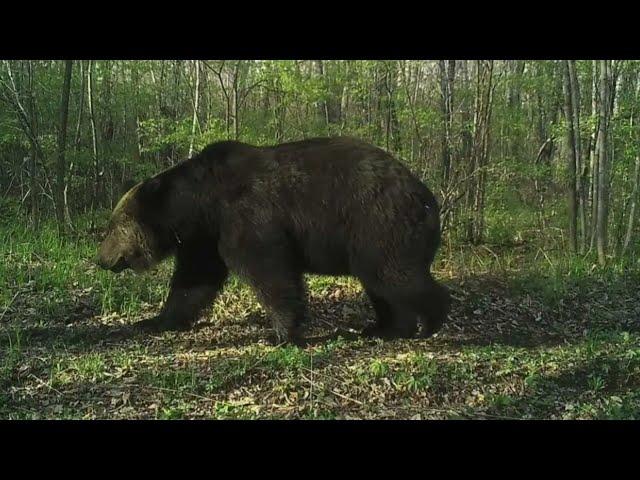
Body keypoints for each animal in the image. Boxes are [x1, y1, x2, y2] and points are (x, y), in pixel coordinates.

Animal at [99, 137, 450, 344]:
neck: (202, 205)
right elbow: (193, 282)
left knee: (394, 275)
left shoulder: (247, 217)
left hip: (378, 224)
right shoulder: (206, 238)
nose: (101, 259)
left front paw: (281, 334)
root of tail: (428, 197)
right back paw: (385, 328)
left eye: (113, 227)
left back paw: (431, 320)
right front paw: (154, 321)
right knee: (380, 284)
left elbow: (270, 272)